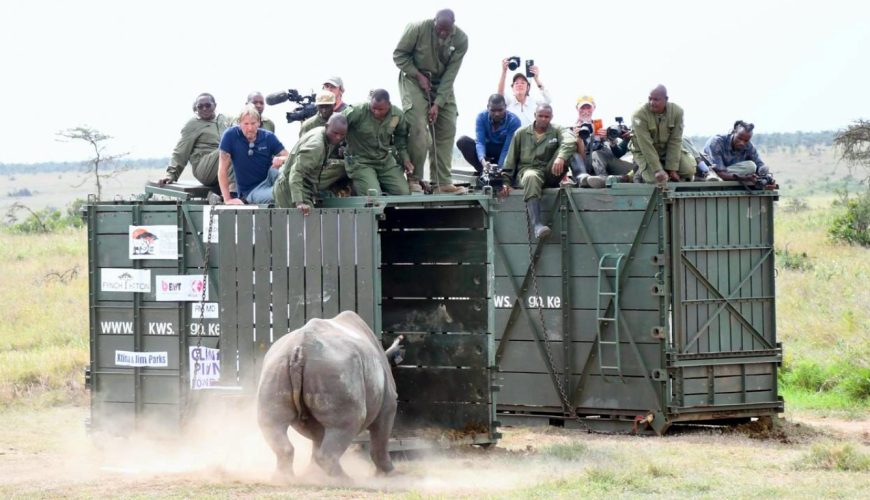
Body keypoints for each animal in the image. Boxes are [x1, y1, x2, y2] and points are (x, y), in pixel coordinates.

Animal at [256, 311, 402, 479]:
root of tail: (300, 349)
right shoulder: (389, 404)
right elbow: (381, 438)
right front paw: (389, 474)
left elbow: (318, 439)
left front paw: (314, 474)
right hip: (337, 368)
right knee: (349, 421)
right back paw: (345, 480)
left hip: (278, 366)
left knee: (272, 422)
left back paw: (284, 479)